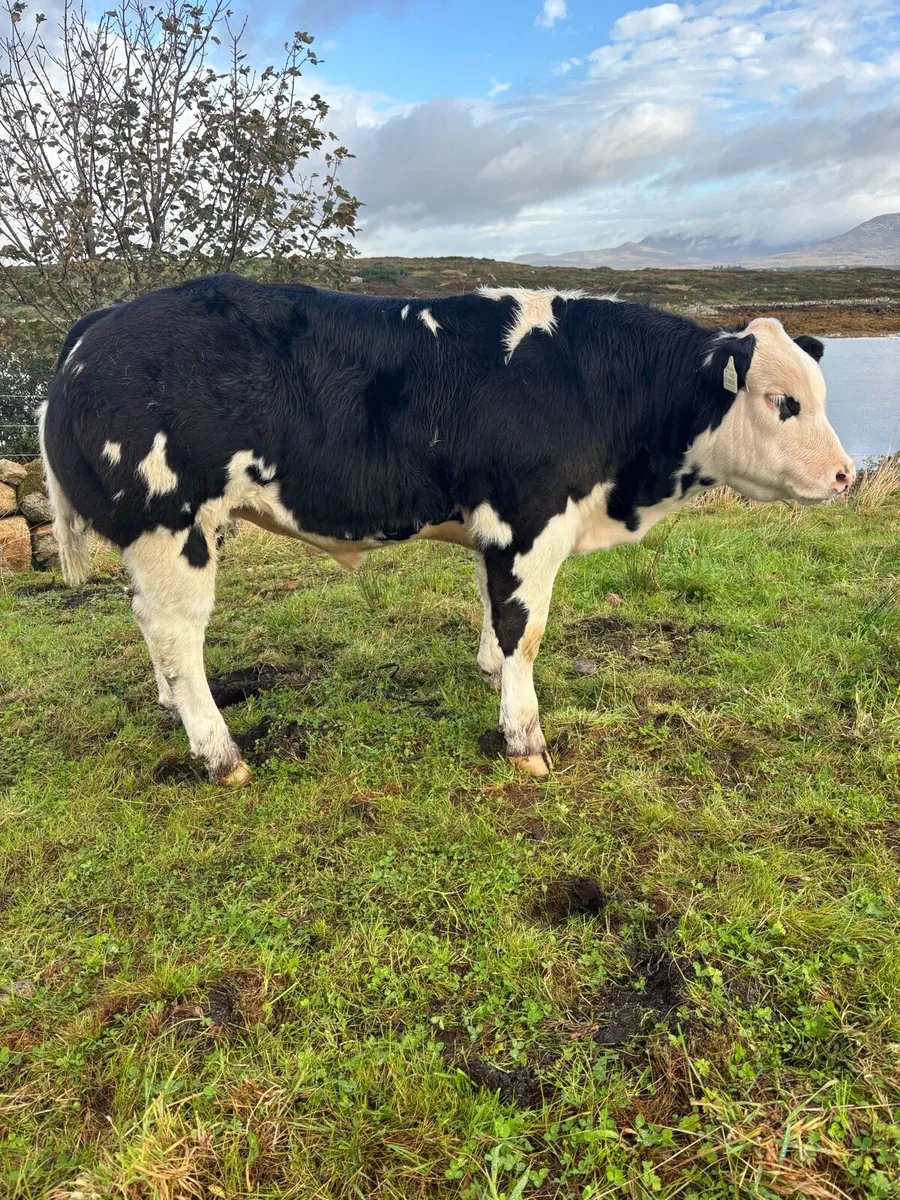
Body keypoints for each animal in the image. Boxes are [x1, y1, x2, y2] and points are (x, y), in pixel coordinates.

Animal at [40, 275, 855, 784]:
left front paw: (492, 673)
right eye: (782, 401)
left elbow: (495, 616)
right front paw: (525, 738)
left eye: (818, 394)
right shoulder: (530, 522)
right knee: (178, 636)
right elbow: (526, 629)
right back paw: (220, 754)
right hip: (168, 527)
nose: (847, 475)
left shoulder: (495, 528)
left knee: (151, 627)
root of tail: (99, 324)